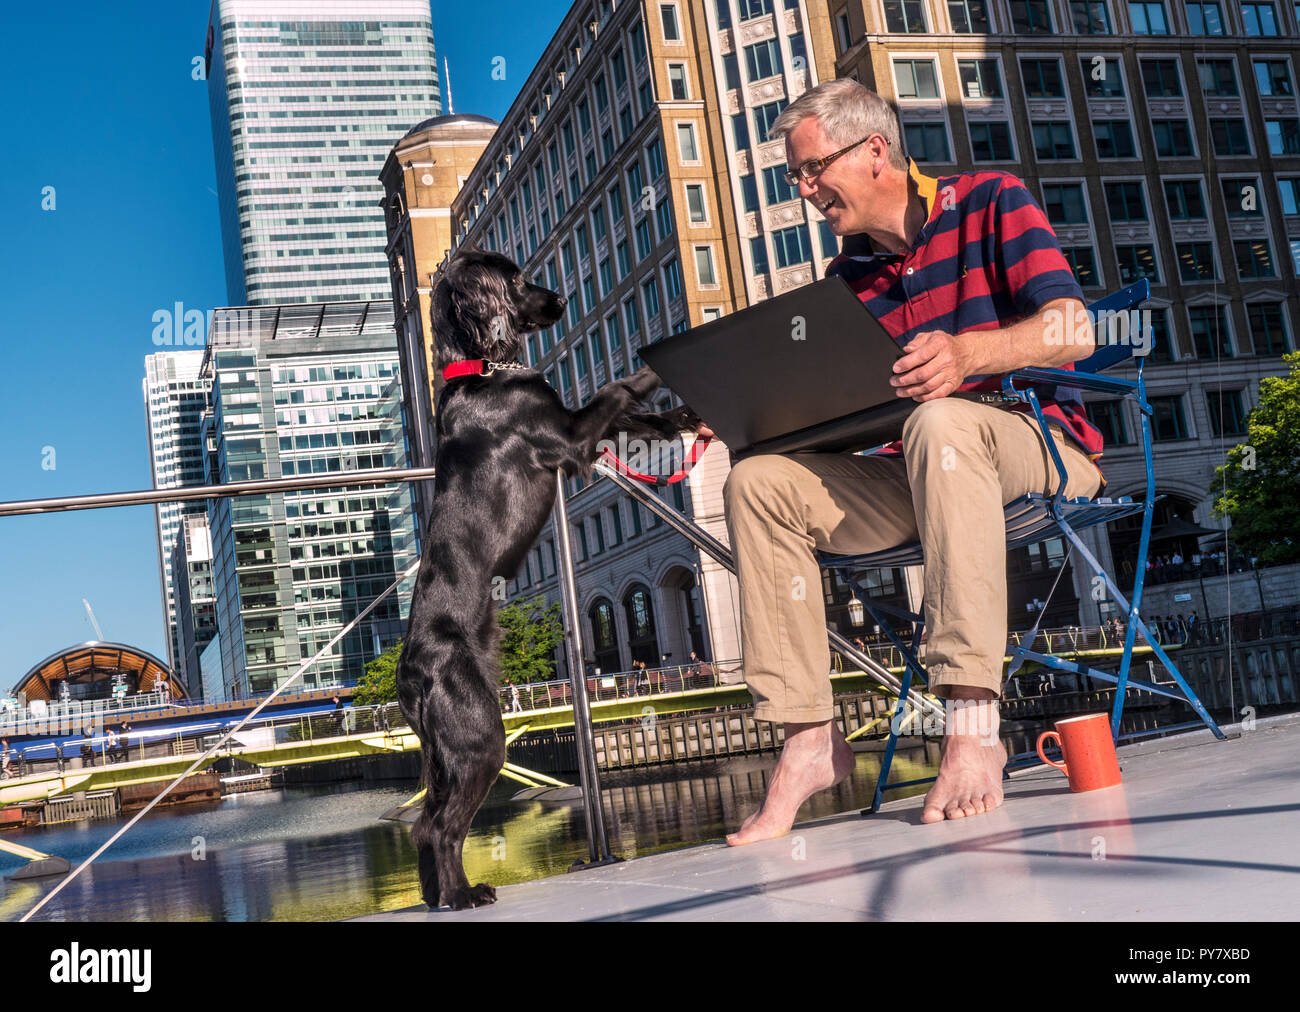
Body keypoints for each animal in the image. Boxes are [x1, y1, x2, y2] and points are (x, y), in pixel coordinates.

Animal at [395, 245, 696, 905]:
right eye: (515, 280)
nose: (561, 299)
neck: (483, 367)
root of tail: (408, 677)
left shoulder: (577, 429)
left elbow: (636, 421)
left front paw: (681, 415)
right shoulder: (566, 435)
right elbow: (617, 389)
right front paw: (653, 362)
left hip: (451, 748)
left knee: (428, 822)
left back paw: (438, 896)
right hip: (480, 735)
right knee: (441, 825)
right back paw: (463, 895)